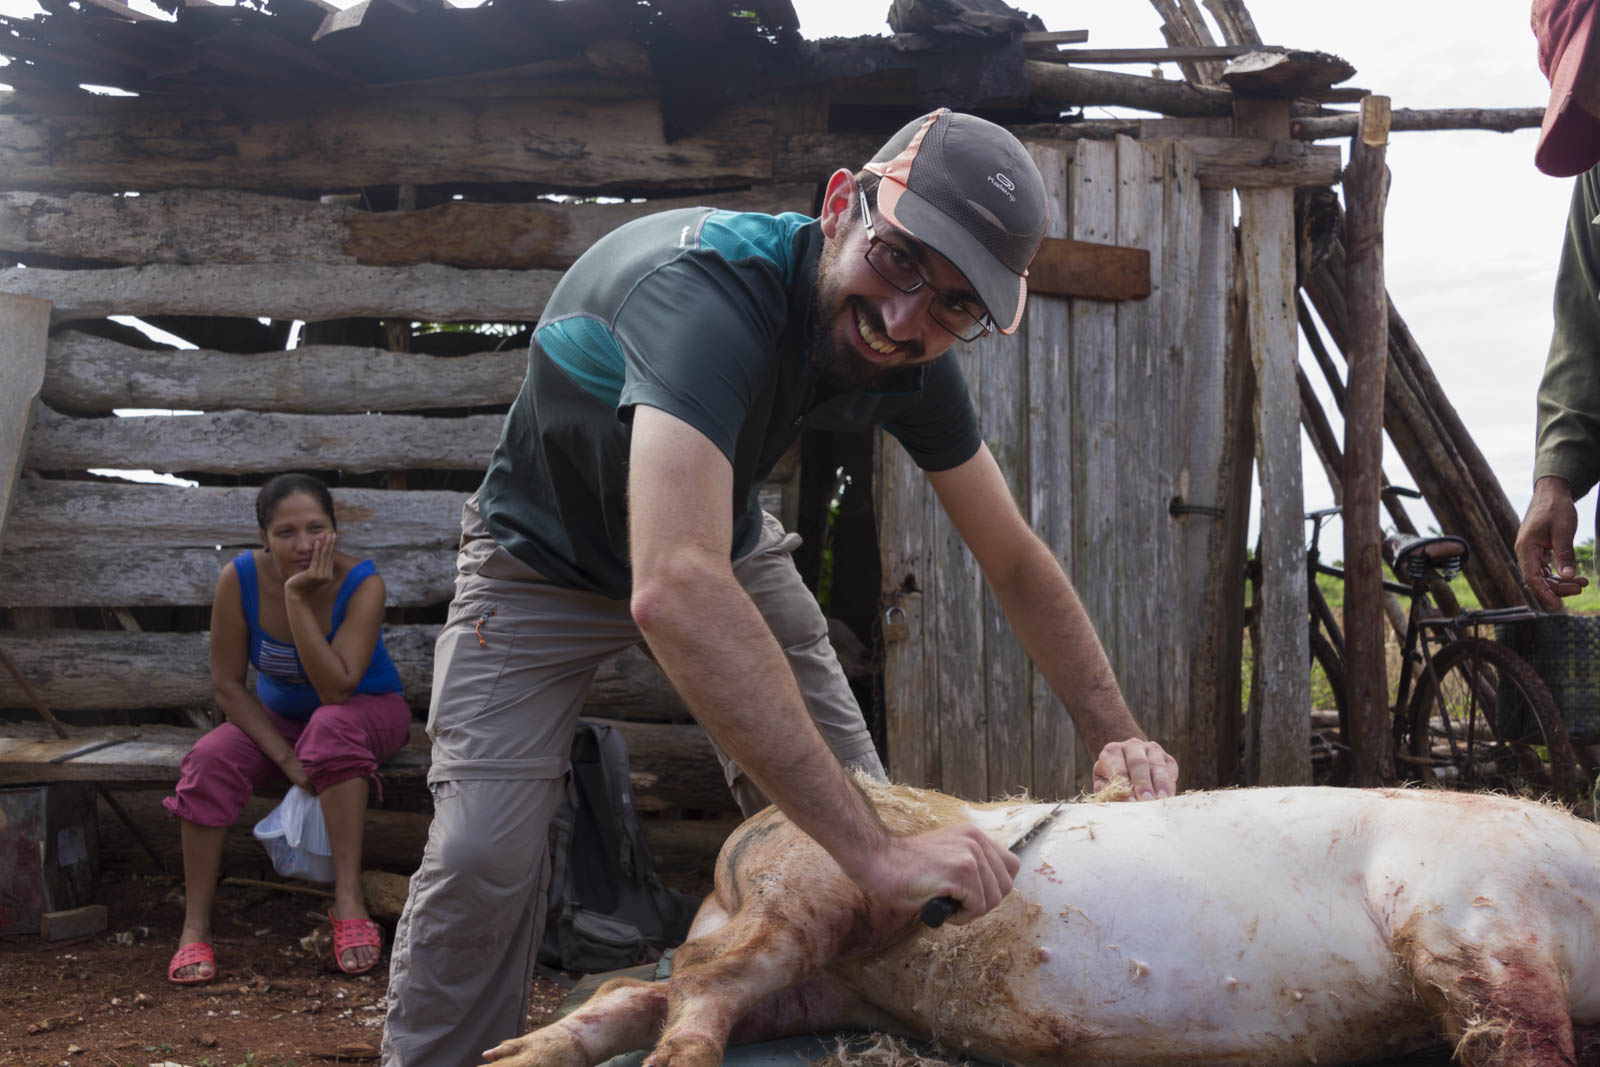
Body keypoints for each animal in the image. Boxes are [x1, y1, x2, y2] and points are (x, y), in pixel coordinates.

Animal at [484, 783, 1600, 1067]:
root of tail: (742, 838)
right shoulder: (1463, 897)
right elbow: (1511, 1025)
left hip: (819, 984)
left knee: (648, 991)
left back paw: (513, 1056)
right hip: (810, 899)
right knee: (696, 986)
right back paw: (667, 1066)